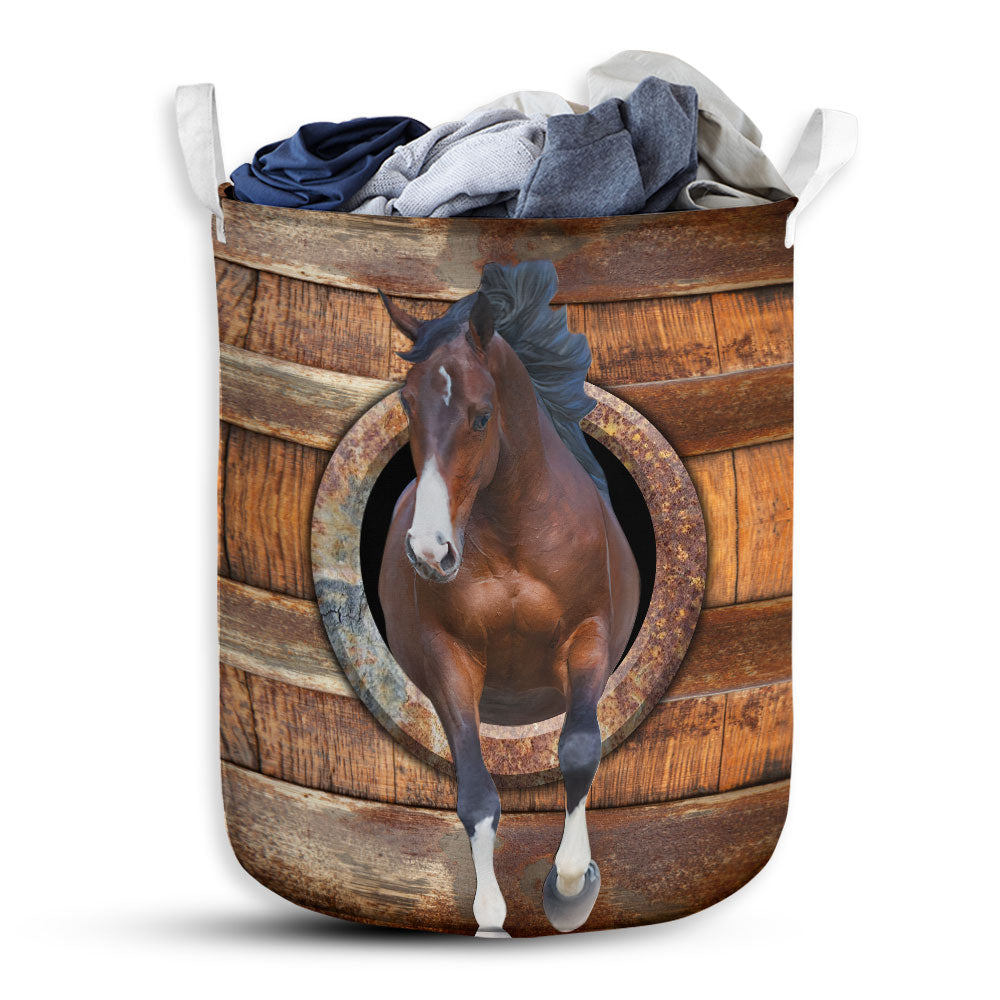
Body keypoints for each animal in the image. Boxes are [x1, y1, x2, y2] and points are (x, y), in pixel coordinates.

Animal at [377, 261, 640, 936]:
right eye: (408, 404)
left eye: (480, 415)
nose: (431, 550)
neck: (515, 537)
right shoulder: (450, 661)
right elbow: (476, 795)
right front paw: (491, 917)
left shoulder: (587, 639)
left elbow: (578, 750)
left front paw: (570, 888)